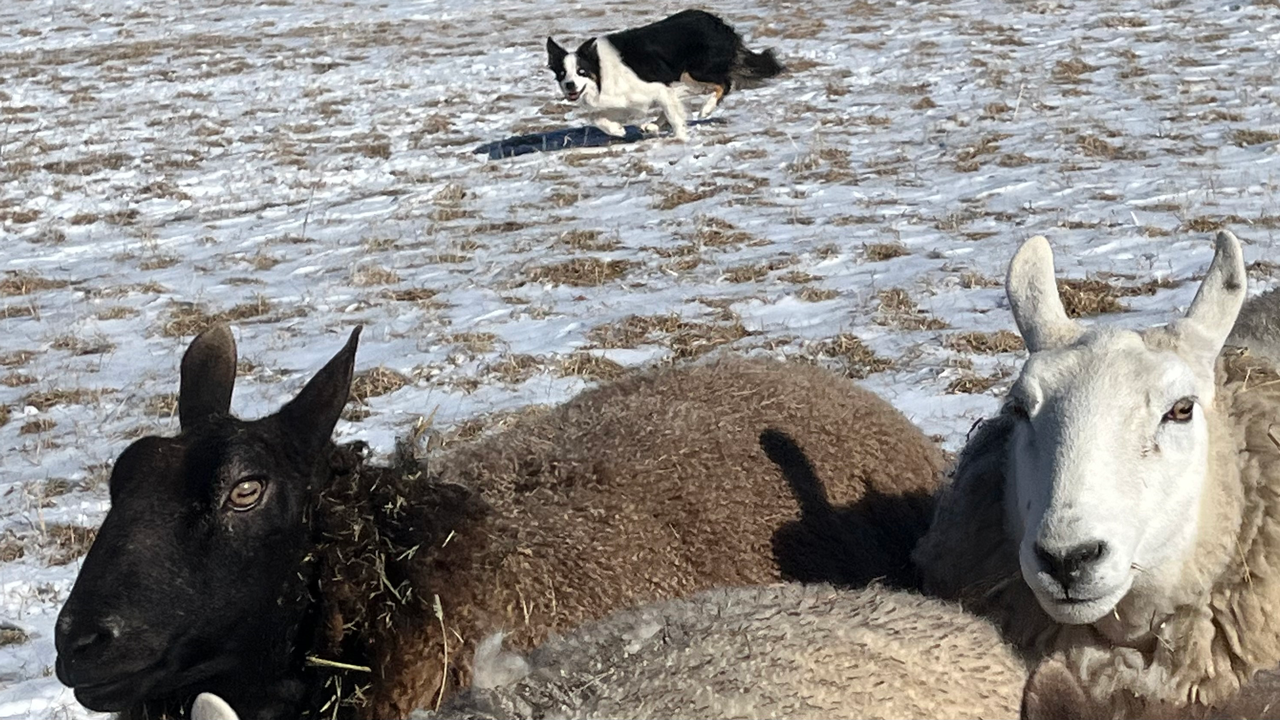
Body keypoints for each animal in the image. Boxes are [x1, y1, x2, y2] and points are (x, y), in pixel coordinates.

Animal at [545, 9, 783, 141]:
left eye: (581, 72)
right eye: (562, 73)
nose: (570, 86)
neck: (601, 73)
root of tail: (718, 22)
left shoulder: (656, 87)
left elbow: (674, 115)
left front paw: (681, 139)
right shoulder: (626, 100)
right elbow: (596, 118)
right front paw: (617, 130)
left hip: (695, 71)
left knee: (724, 84)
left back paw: (706, 109)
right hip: (683, 77)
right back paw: (652, 125)